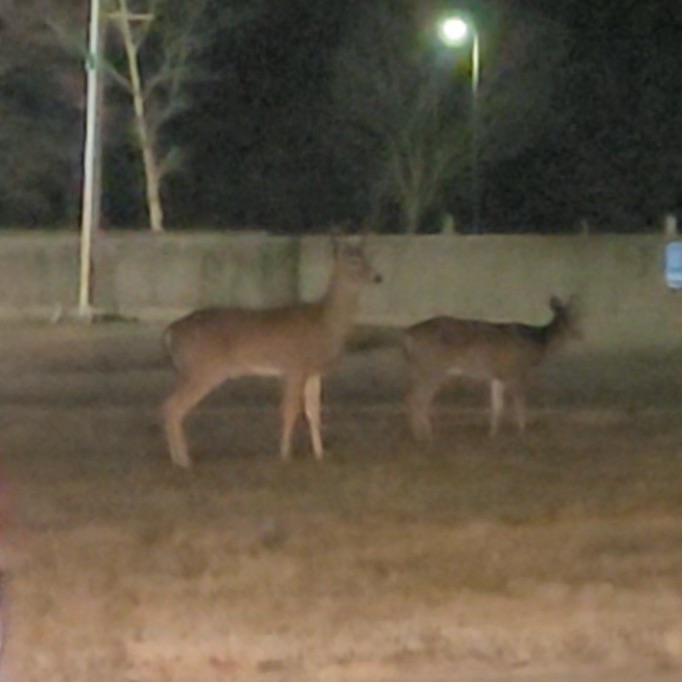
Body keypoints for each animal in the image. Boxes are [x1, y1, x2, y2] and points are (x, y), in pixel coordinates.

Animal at [160, 236, 382, 468]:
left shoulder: (313, 371)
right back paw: (183, 460)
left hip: (188, 370)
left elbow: (313, 412)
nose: (378, 277)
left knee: (169, 406)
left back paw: (178, 458)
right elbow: (290, 410)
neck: (325, 323)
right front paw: (285, 455)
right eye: (353, 261)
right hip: (204, 369)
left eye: (367, 256)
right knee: (172, 406)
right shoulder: (294, 366)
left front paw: (320, 454)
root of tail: (170, 331)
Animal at [403, 296, 579, 442]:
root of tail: (409, 335)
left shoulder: (497, 375)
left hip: (422, 368)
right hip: (433, 367)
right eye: (563, 319)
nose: (576, 334)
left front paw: (492, 435)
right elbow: (519, 404)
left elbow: (497, 406)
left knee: (414, 397)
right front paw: (523, 432)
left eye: (576, 317)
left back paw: (418, 435)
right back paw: (426, 436)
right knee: (418, 398)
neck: (538, 341)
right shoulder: (516, 371)